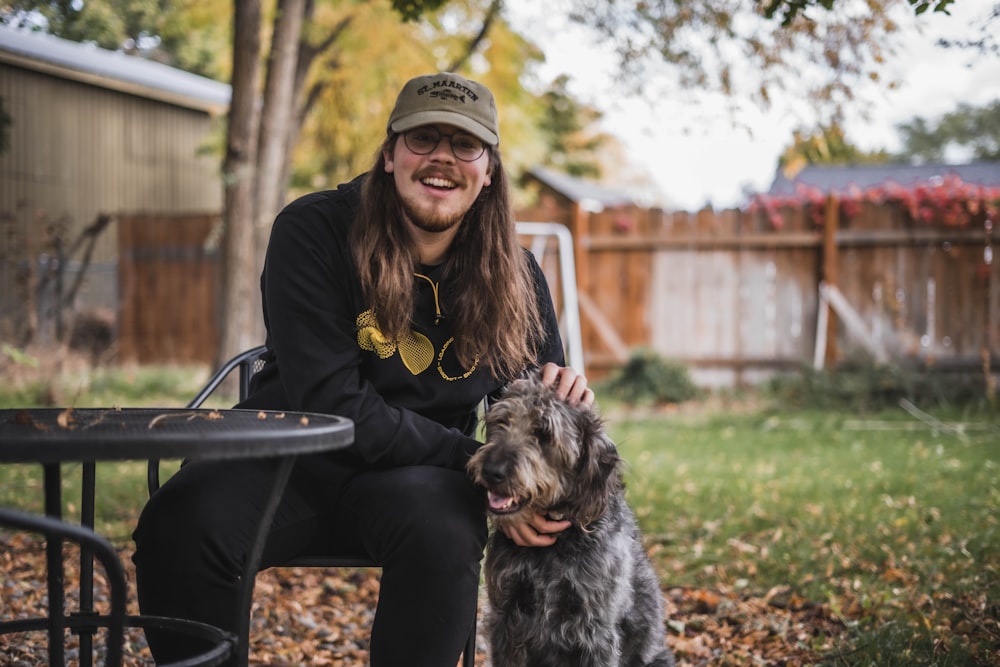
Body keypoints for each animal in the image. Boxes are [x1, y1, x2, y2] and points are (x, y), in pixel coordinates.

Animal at [466, 370, 672, 667]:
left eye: (544, 434)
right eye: (502, 421)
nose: (492, 470)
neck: (553, 546)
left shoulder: (594, 630)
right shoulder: (505, 618)